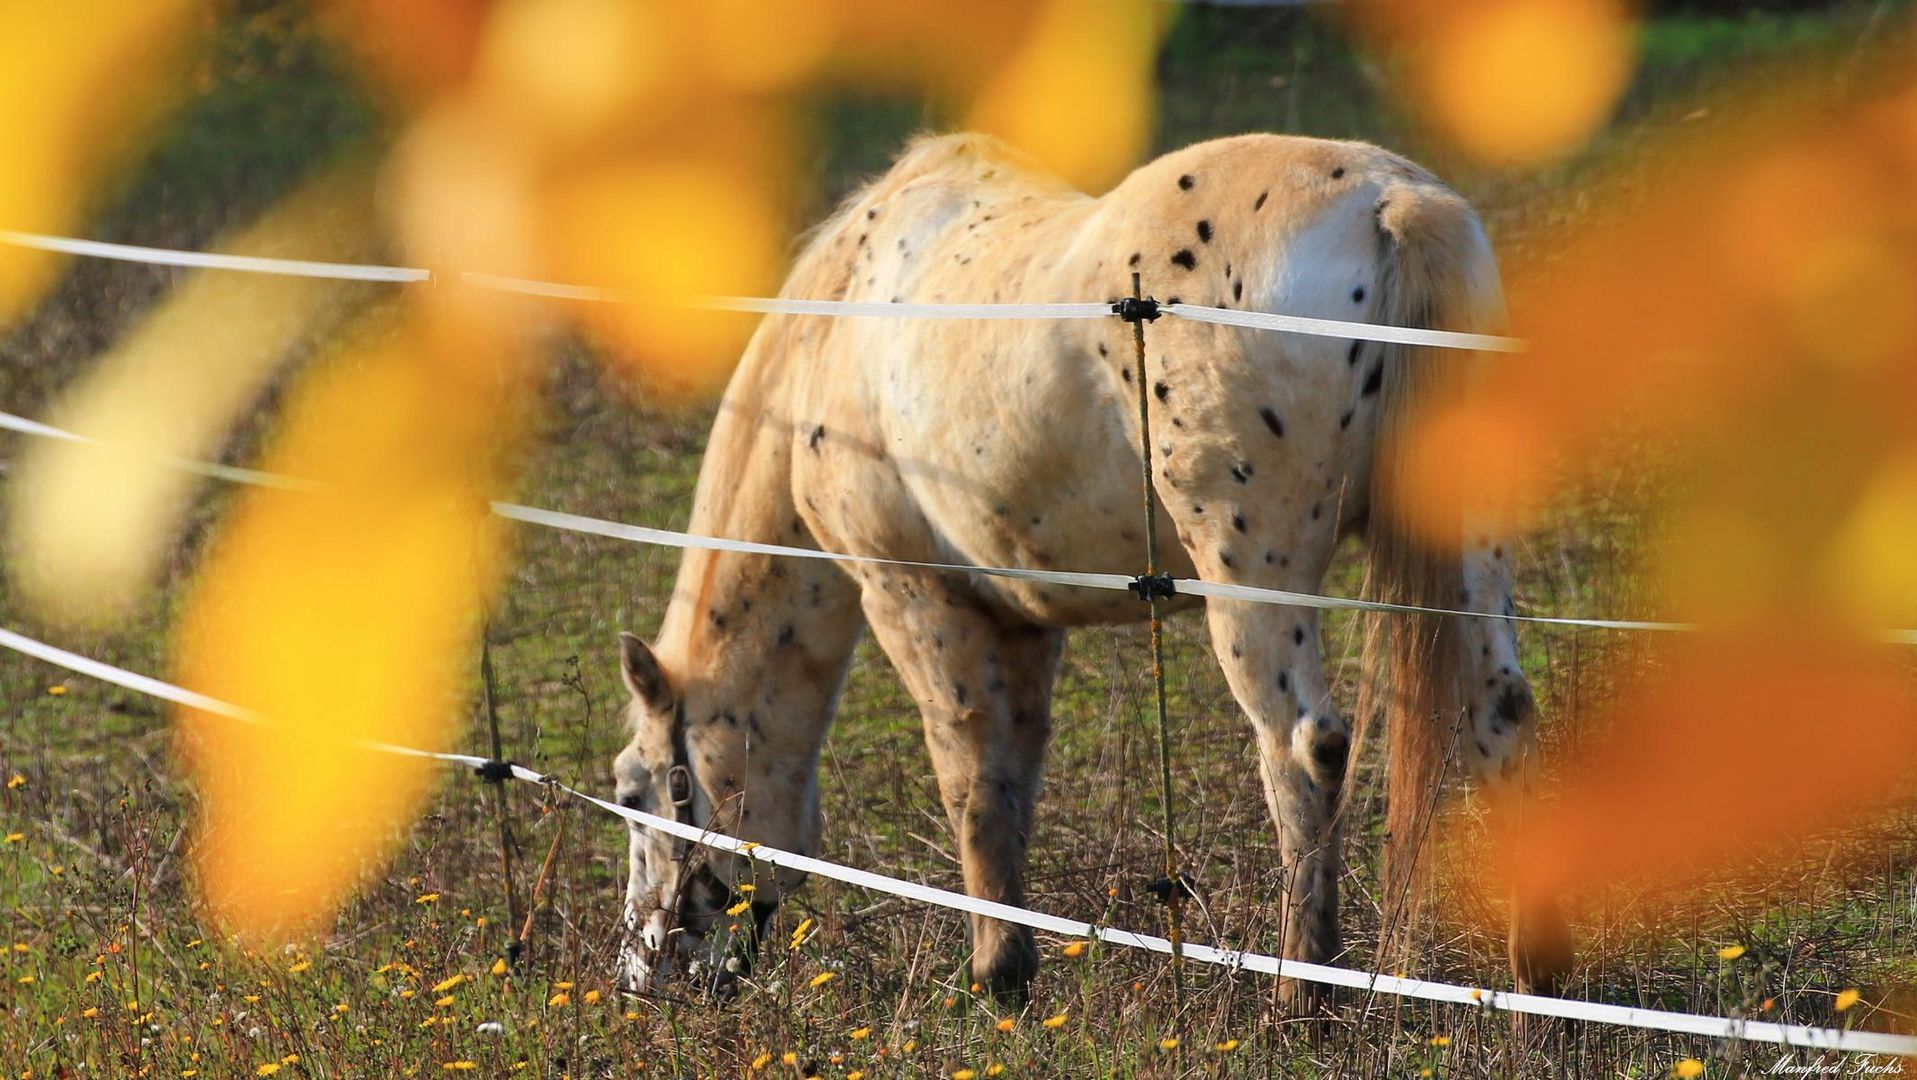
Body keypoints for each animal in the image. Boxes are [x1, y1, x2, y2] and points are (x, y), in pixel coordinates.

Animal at [605, 133, 1564, 1005]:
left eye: (637, 789)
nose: (641, 978)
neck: (839, 324)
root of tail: (1388, 201)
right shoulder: (1022, 623)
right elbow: (1009, 781)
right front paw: (1013, 966)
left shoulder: (910, 597)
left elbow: (966, 777)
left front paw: (994, 977)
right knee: (1500, 718)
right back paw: (1536, 1001)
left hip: (1250, 576)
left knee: (1302, 750)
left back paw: (1302, 995)